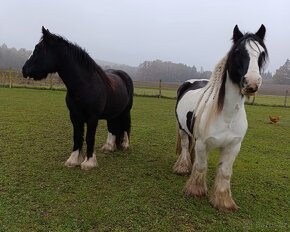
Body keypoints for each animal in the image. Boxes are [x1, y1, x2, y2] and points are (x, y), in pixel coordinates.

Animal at [22, 27, 134, 170]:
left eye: (38, 50)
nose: (24, 69)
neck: (84, 85)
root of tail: (123, 75)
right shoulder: (74, 115)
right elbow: (77, 136)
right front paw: (73, 160)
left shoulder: (92, 118)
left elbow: (89, 137)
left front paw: (89, 163)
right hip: (113, 112)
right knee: (112, 126)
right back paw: (109, 147)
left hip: (126, 111)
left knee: (126, 124)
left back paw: (125, 144)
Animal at [174, 24, 268, 210]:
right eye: (237, 52)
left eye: (261, 53)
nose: (252, 82)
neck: (227, 116)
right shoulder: (203, 143)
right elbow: (201, 166)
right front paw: (195, 190)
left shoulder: (233, 146)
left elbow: (225, 172)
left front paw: (223, 201)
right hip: (182, 129)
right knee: (185, 146)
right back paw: (183, 167)